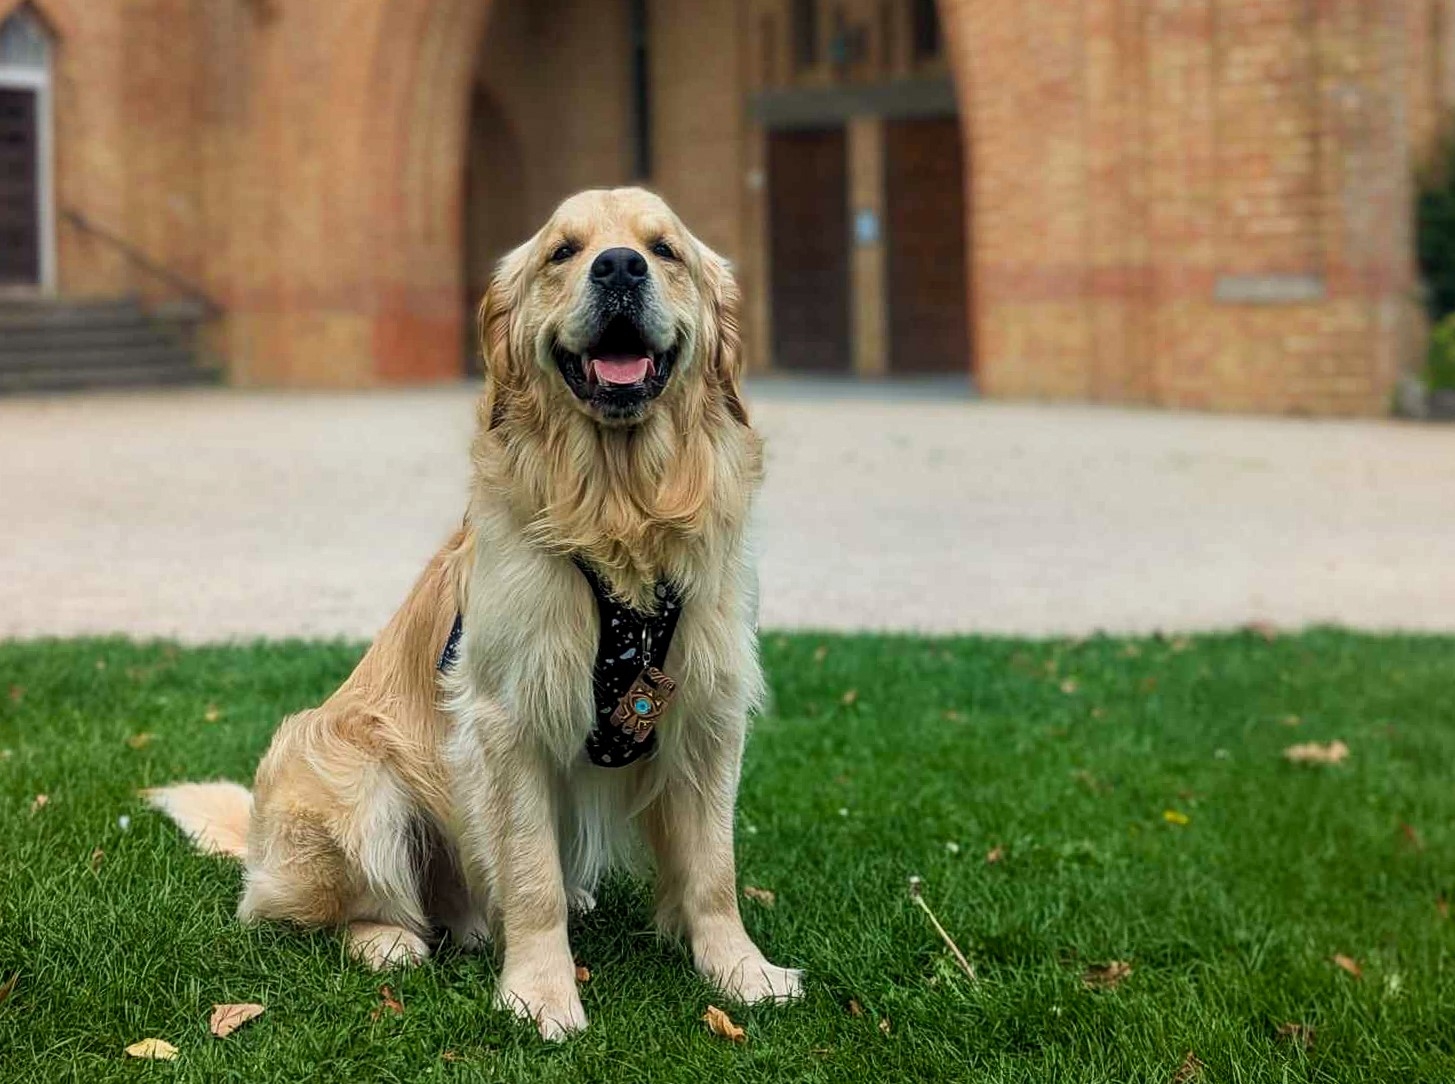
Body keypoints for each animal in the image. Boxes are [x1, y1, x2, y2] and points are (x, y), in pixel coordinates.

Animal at [147, 187, 803, 1041]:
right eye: (563, 251)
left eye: (663, 250)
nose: (618, 267)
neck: (619, 512)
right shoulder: (506, 718)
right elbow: (529, 878)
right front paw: (541, 994)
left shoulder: (707, 711)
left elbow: (713, 872)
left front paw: (741, 971)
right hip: (345, 769)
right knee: (301, 912)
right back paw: (390, 939)